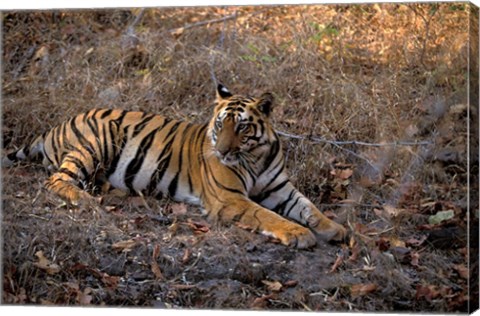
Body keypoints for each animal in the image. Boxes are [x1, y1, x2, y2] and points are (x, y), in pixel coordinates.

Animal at [2, 84, 344, 249]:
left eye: (243, 127)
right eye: (220, 124)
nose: (222, 151)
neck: (255, 155)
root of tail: (54, 126)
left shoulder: (280, 188)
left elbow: (310, 207)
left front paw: (336, 229)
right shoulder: (229, 198)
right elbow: (268, 216)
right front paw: (300, 234)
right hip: (95, 142)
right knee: (56, 180)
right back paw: (86, 200)